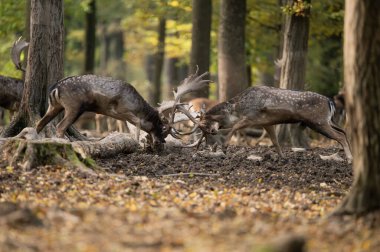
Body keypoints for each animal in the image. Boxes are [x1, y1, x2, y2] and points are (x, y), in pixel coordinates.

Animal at [35, 69, 211, 148]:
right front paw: (139, 144)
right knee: (59, 126)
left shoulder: (123, 116)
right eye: (162, 127)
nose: (161, 142)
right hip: (74, 106)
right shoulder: (122, 111)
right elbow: (138, 124)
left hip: (54, 106)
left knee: (39, 123)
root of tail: (55, 87)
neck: (136, 104)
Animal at [190, 85, 354, 163]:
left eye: (205, 126)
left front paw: (224, 148)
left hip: (318, 122)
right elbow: (275, 141)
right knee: (344, 132)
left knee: (340, 135)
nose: (208, 144)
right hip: (326, 121)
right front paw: (283, 157)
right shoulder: (267, 123)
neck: (236, 109)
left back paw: (350, 158)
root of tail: (330, 101)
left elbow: (235, 127)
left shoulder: (253, 117)